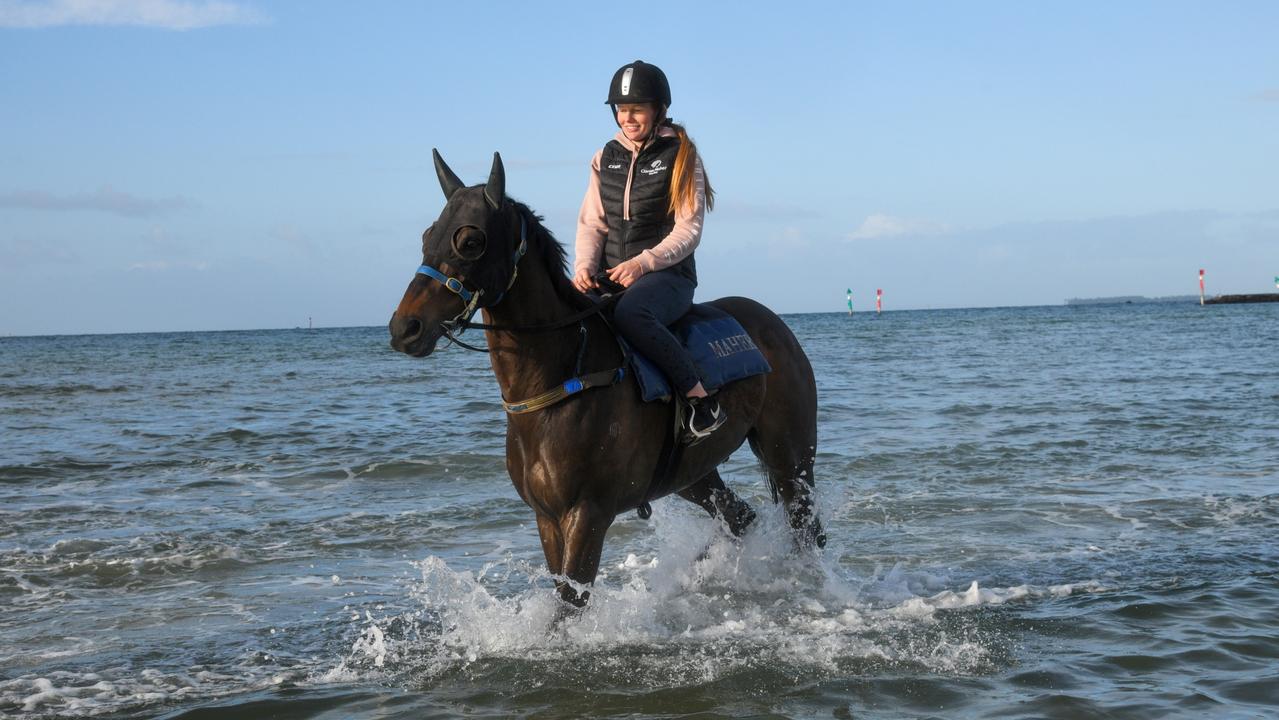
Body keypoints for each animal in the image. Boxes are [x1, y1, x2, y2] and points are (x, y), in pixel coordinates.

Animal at [386, 152, 818, 608]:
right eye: (428, 234)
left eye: (470, 241)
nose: (405, 328)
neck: (560, 378)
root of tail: (774, 323)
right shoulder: (547, 516)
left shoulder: (588, 513)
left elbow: (569, 604)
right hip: (694, 475)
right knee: (741, 517)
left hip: (791, 456)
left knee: (805, 527)